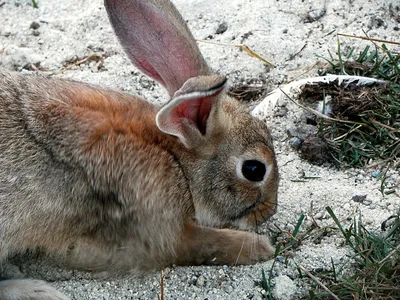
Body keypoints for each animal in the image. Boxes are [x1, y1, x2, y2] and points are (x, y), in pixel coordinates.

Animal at [0, 0, 280, 298]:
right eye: (254, 169)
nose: (270, 212)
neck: (174, 158)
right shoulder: (159, 231)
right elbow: (202, 245)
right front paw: (260, 247)